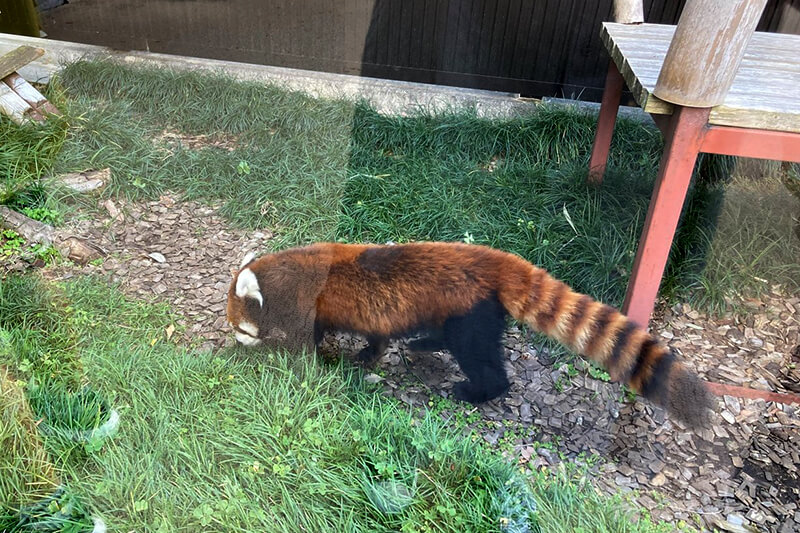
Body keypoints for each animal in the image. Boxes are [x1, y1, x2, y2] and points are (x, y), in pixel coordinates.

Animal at [225, 240, 712, 424]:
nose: (236, 342)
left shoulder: (310, 306)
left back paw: (477, 391)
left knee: (478, 356)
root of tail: (494, 260)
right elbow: (376, 335)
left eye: (237, 325)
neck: (282, 276)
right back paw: (422, 344)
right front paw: (367, 354)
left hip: (470, 314)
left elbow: (311, 340)